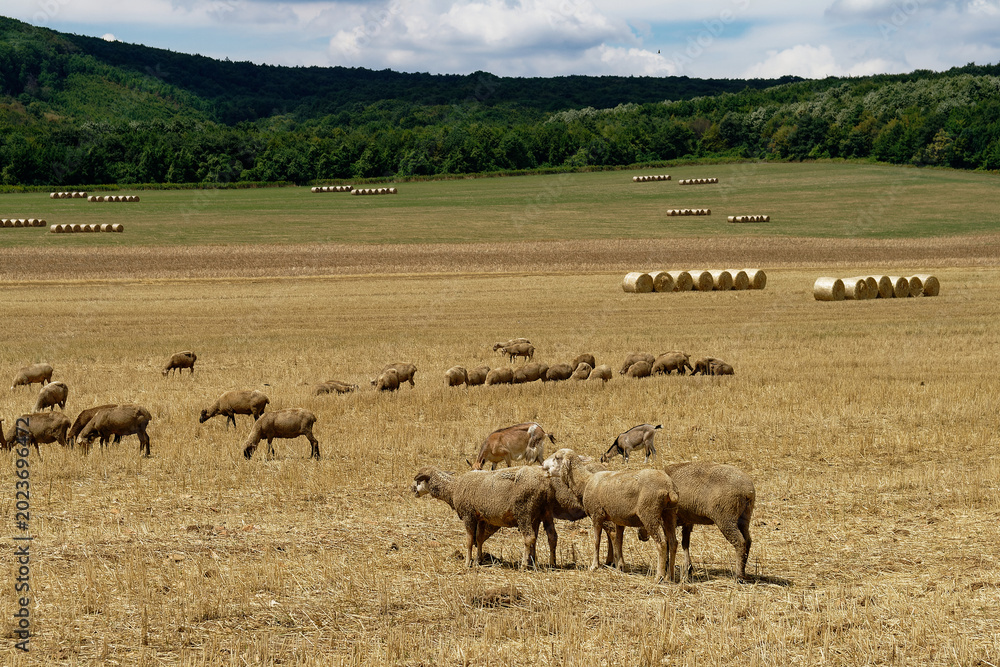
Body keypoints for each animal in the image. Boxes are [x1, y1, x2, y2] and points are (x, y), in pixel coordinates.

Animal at [413, 465, 558, 569]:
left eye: (419, 480)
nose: (412, 489)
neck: (453, 488)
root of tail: (545, 483)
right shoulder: (481, 518)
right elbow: (479, 538)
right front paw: (478, 561)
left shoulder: (468, 515)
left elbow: (469, 541)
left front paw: (467, 563)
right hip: (545, 512)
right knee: (552, 537)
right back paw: (551, 564)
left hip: (524, 512)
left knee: (529, 538)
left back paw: (523, 565)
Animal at [542, 448, 679, 582]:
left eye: (557, 457)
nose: (543, 464)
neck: (585, 482)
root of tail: (670, 488)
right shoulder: (619, 519)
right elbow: (618, 541)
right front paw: (620, 566)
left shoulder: (596, 515)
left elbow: (596, 541)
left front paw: (594, 566)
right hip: (669, 513)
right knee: (673, 542)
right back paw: (670, 576)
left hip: (649, 514)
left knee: (661, 543)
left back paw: (659, 576)